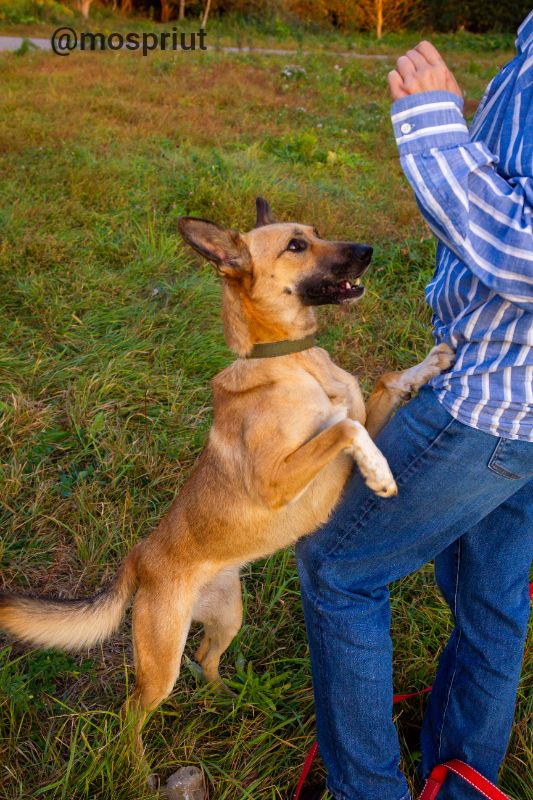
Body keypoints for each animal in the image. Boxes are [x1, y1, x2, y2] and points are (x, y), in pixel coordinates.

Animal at [0, 200, 450, 752]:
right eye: (296, 246)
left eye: (317, 233)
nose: (368, 251)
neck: (295, 360)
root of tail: (138, 558)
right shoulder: (278, 479)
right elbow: (345, 427)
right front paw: (381, 473)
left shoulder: (364, 420)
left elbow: (384, 385)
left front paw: (431, 362)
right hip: (160, 662)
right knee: (133, 710)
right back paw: (136, 763)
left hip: (229, 618)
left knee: (205, 658)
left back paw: (227, 699)